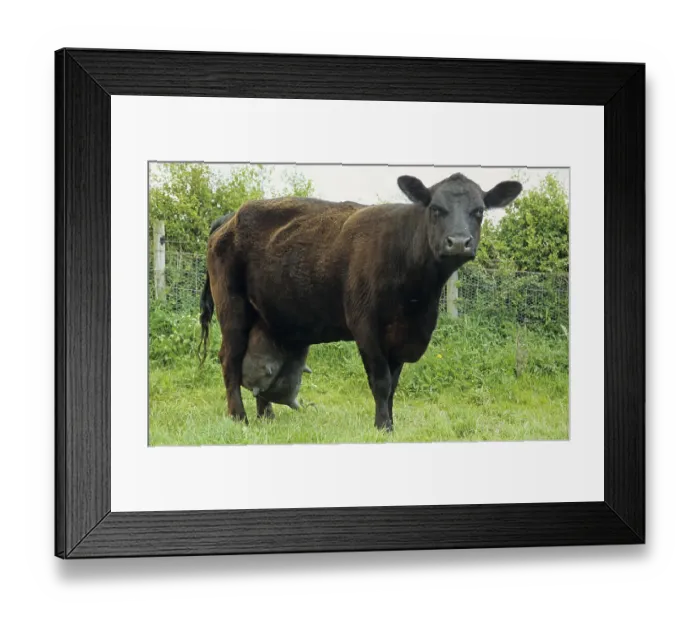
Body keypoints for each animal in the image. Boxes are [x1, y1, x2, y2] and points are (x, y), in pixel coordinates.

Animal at [199, 173, 522, 431]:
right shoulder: (365, 326)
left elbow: (393, 384)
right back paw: (238, 417)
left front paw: (390, 422)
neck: (417, 301)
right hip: (232, 308)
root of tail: (230, 216)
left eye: (478, 211)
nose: (458, 242)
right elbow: (380, 381)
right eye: (435, 209)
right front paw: (383, 427)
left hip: (265, 315)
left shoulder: (401, 336)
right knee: (229, 359)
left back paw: (266, 415)